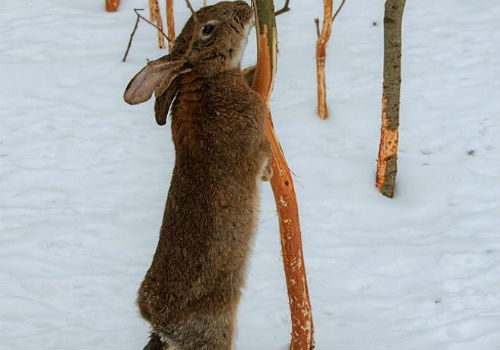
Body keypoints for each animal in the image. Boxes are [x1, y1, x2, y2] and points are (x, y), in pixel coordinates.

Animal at [123, 1, 272, 348]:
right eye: (207, 29)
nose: (244, 7)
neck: (204, 77)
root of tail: (160, 324)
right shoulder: (255, 140)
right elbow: (263, 158)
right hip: (215, 328)